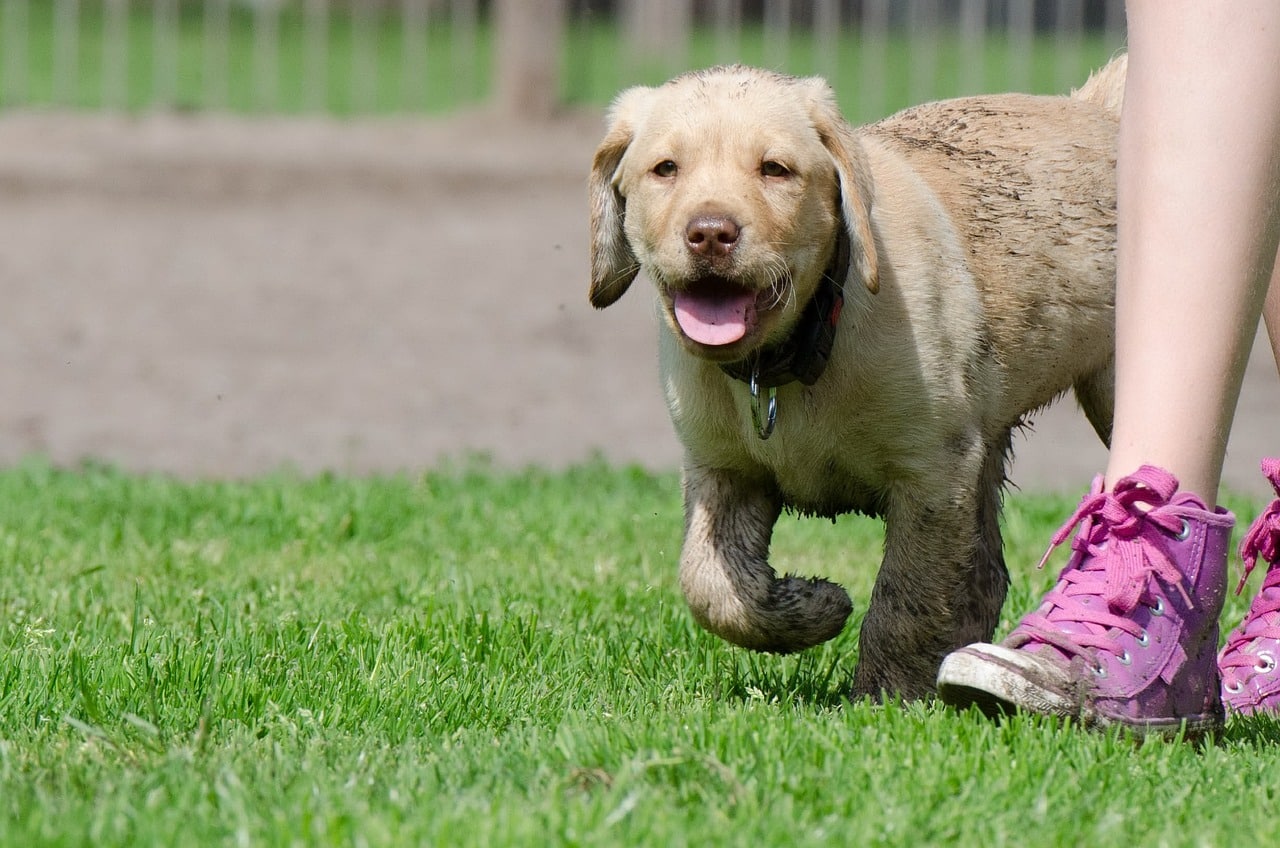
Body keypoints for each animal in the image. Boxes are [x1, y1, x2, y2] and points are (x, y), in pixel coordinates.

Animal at [591, 58, 1131, 696]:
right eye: (665, 169)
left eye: (775, 169)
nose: (711, 233)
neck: (793, 354)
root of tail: (1095, 108)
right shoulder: (721, 468)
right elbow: (710, 585)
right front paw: (809, 606)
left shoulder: (933, 472)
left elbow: (908, 600)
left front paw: (885, 697)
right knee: (985, 574)